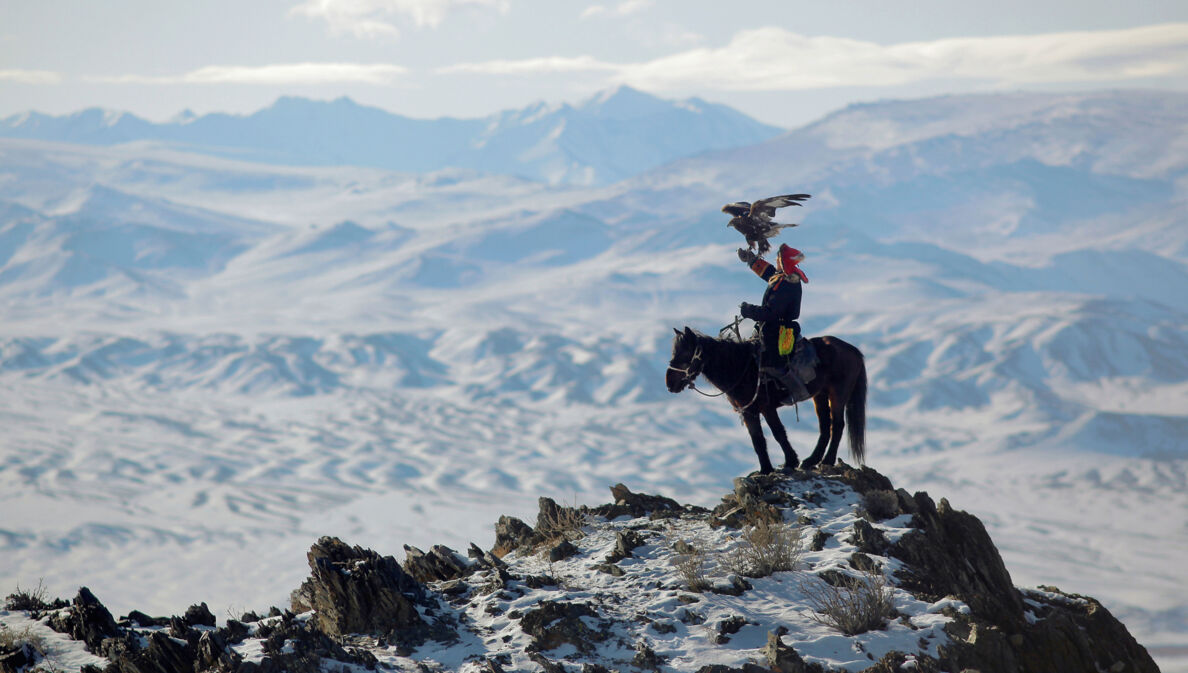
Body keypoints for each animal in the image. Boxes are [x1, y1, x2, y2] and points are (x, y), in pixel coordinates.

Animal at [665, 328, 869, 475]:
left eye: (684, 354)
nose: (669, 383)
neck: (740, 367)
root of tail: (853, 350)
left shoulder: (767, 407)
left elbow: (778, 433)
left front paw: (790, 462)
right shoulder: (748, 411)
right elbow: (758, 440)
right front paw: (766, 469)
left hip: (838, 394)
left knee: (838, 425)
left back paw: (827, 460)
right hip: (820, 395)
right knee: (825, 427)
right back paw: (811, 460)